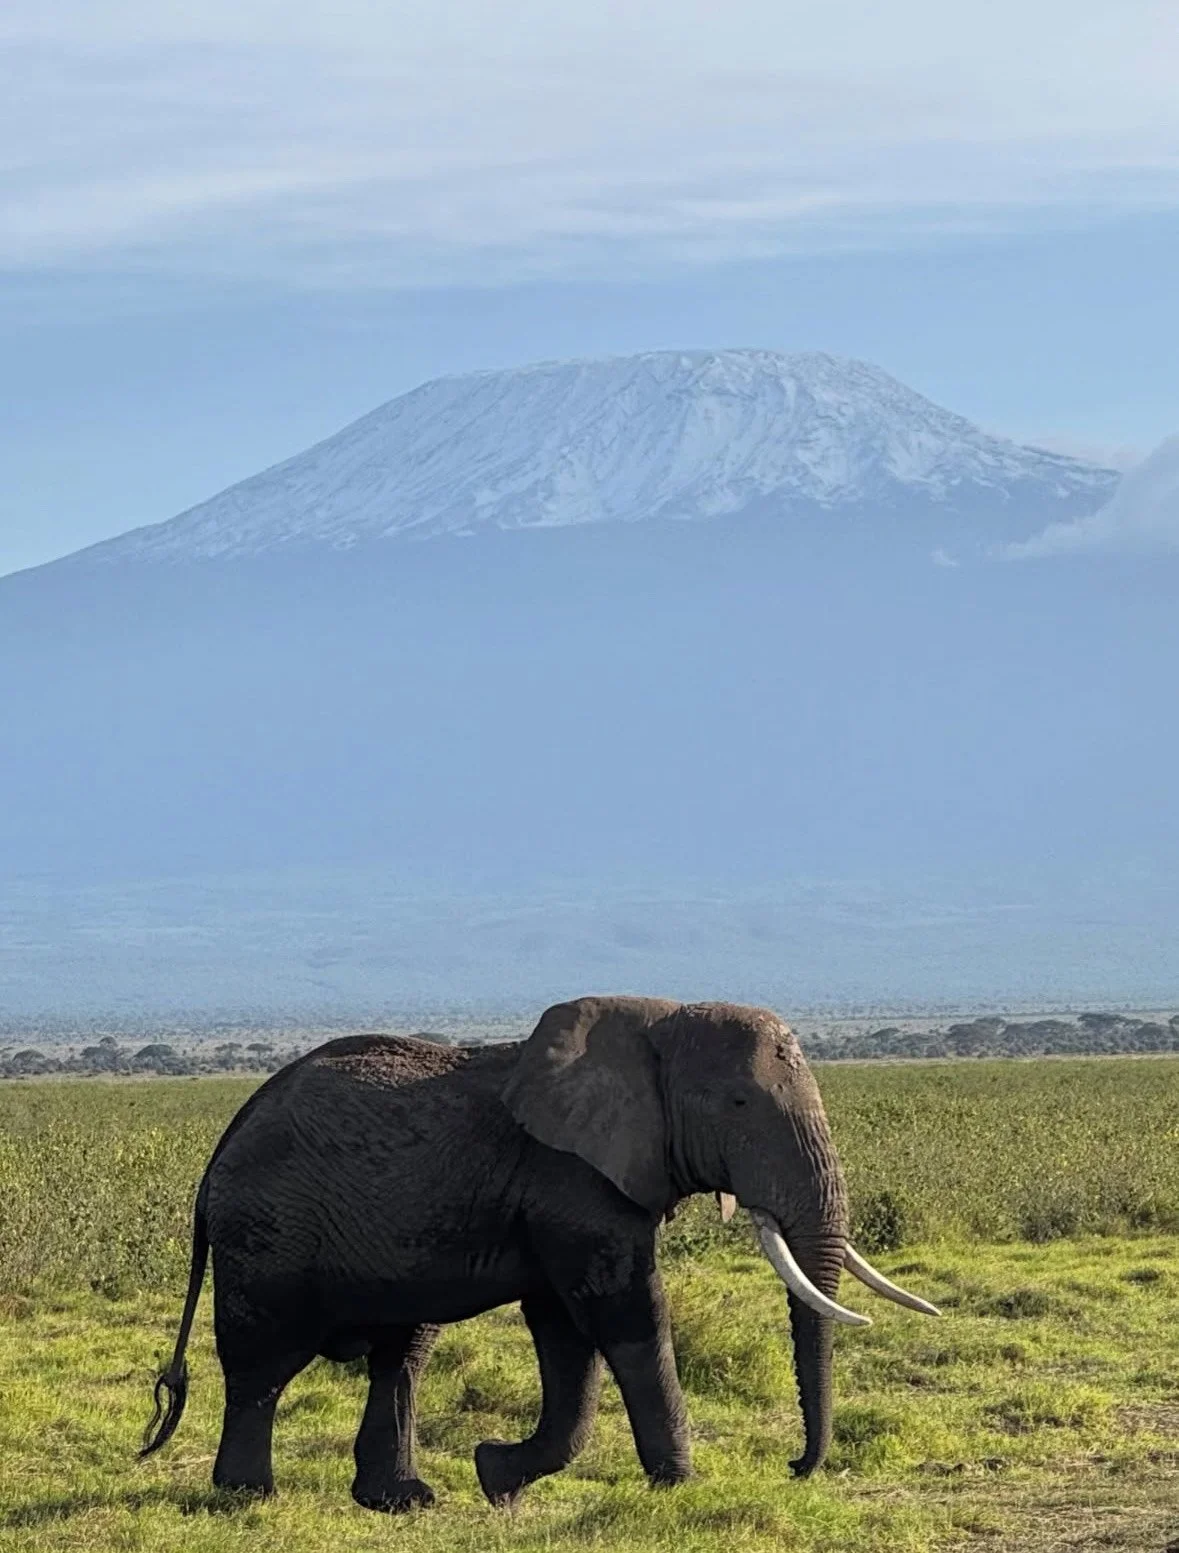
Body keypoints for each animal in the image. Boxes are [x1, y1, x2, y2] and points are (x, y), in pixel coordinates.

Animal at [140, 995, 939, 1509]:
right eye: (738, 1105)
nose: (795, 1466)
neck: (657, 1018)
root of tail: (219, 1151)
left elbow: (564, 1331)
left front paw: (496, 1474)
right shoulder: (571, 1180)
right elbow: (622, 1312)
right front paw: (679, 1484)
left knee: (402, 1354)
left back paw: (403, 1500)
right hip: (267, 1231)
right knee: (263, 1360)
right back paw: (247, 1497)